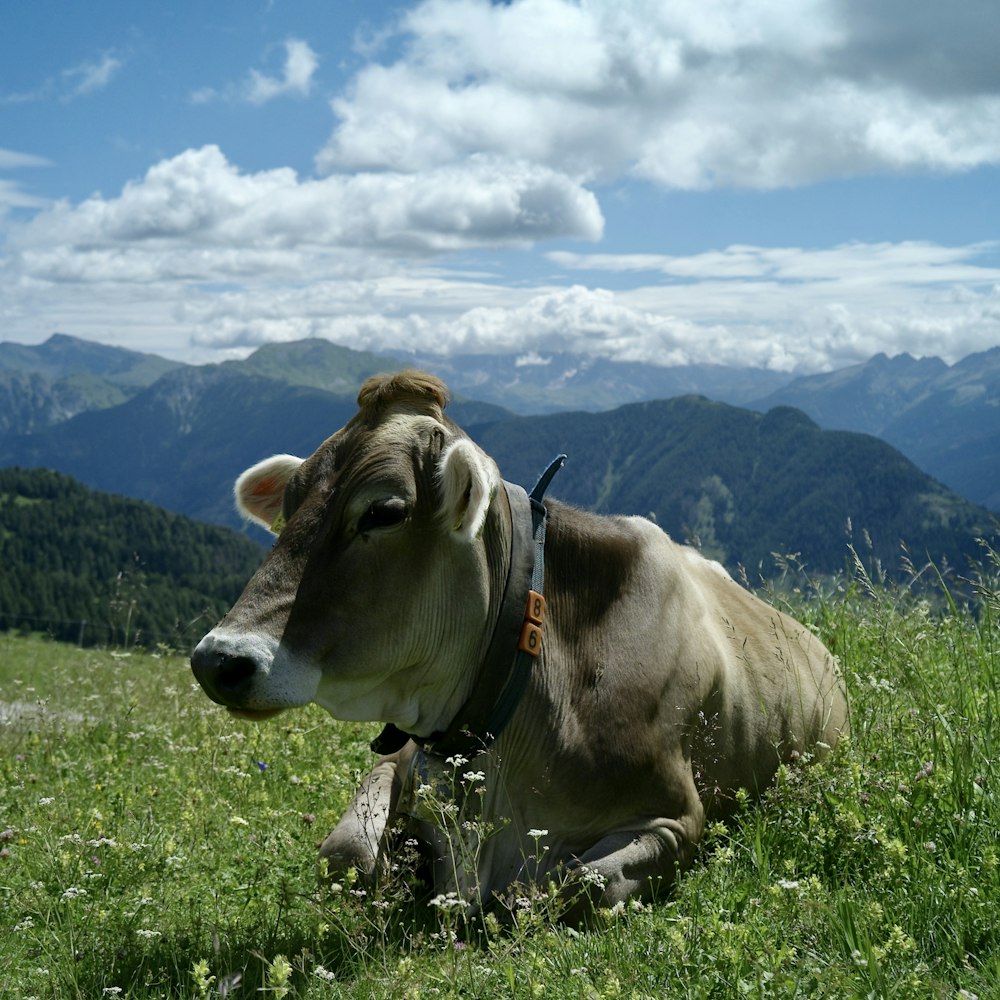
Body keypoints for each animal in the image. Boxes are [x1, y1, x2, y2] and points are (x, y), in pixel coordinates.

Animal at [191, 370, 848, 920]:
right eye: (290, 505)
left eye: (384, 510)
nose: (217, 660)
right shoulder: (399, 760)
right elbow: (344, 853)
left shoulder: (676, 817)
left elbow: (567, 888)